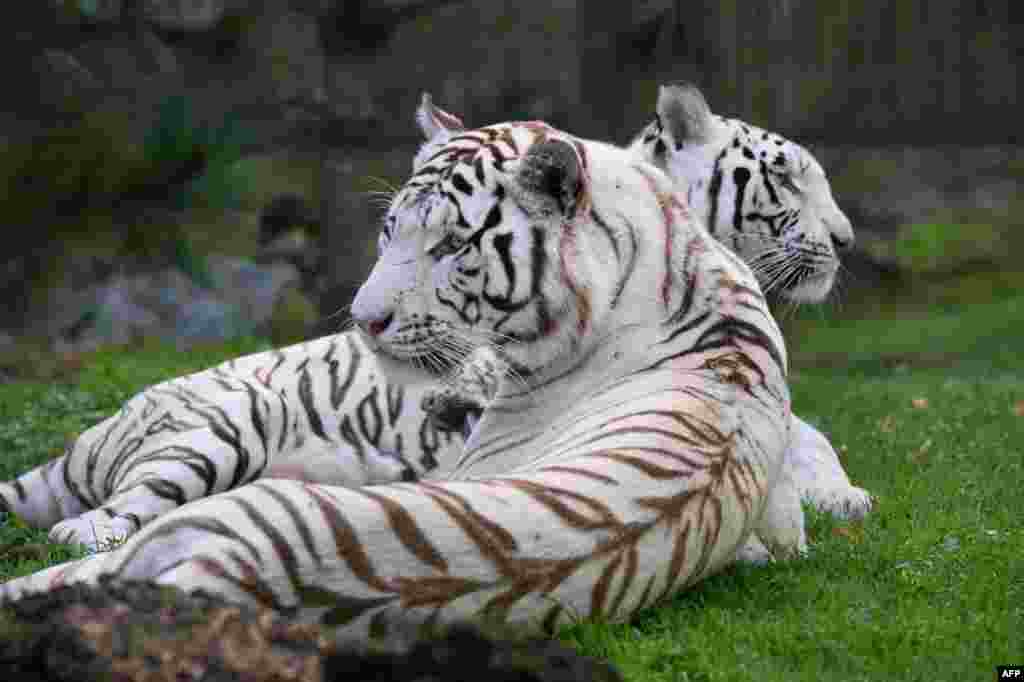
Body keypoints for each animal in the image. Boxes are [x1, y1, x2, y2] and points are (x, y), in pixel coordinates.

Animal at [0, 118, 798, 643]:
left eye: (452, 245)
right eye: (391, 231)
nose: (364, 320)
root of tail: (228, 575)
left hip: (189, 506)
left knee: (66, 552)